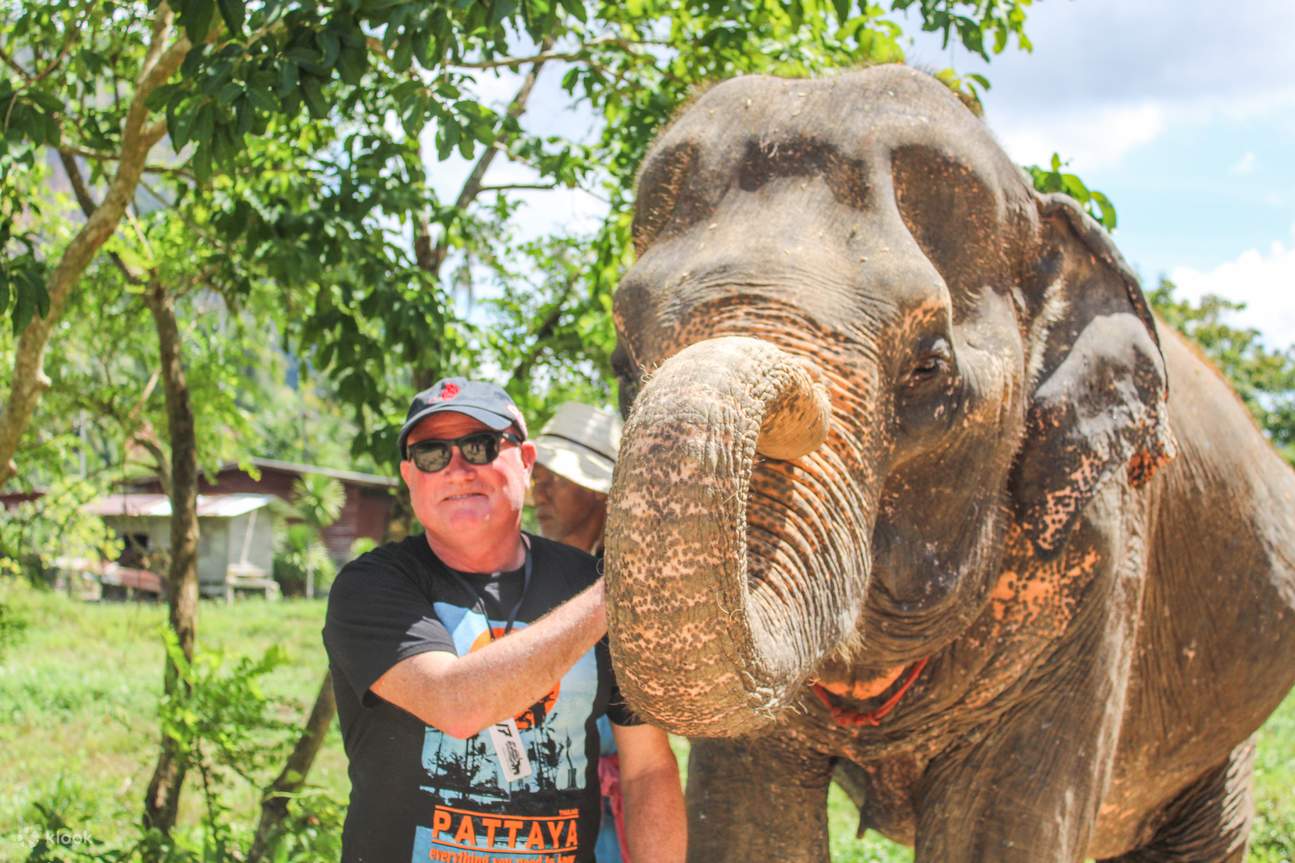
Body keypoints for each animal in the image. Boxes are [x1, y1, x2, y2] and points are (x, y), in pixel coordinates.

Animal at [601, 65, 1295, 863]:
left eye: (928, 366)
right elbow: (746, 820)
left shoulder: (1100, 553)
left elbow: (998, 829)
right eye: (624, 363)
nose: (791, 407)